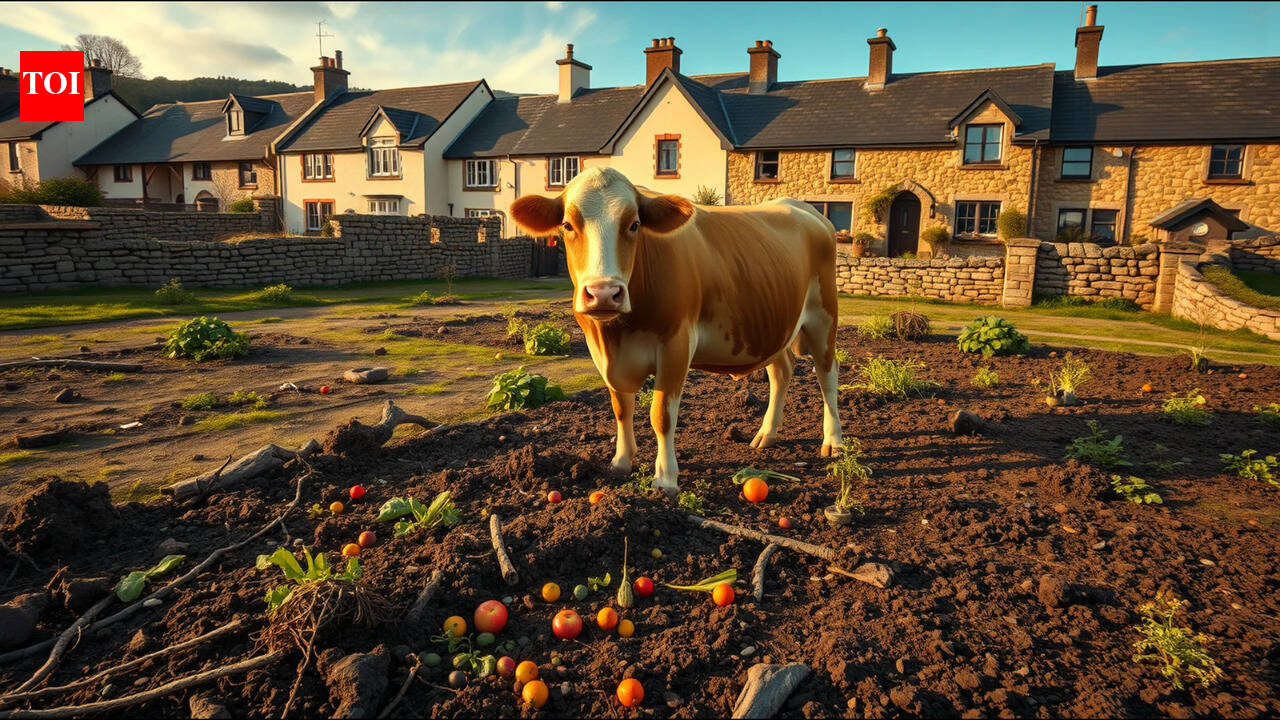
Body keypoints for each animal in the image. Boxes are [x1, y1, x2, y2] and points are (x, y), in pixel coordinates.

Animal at [510, 167, 842, 497]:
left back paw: (834, 441)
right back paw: (767, 434)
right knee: (782, 371)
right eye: (567, 225)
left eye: (634, 224)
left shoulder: (676, 344)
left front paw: (666, 478)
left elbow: (662, 415)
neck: (616, 336)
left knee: (827, 375)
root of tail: (805, 208)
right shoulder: (602, 354)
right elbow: (621, 408)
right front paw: (621, 462)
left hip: (823, 316)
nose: (604, 293)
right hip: (775, 326)